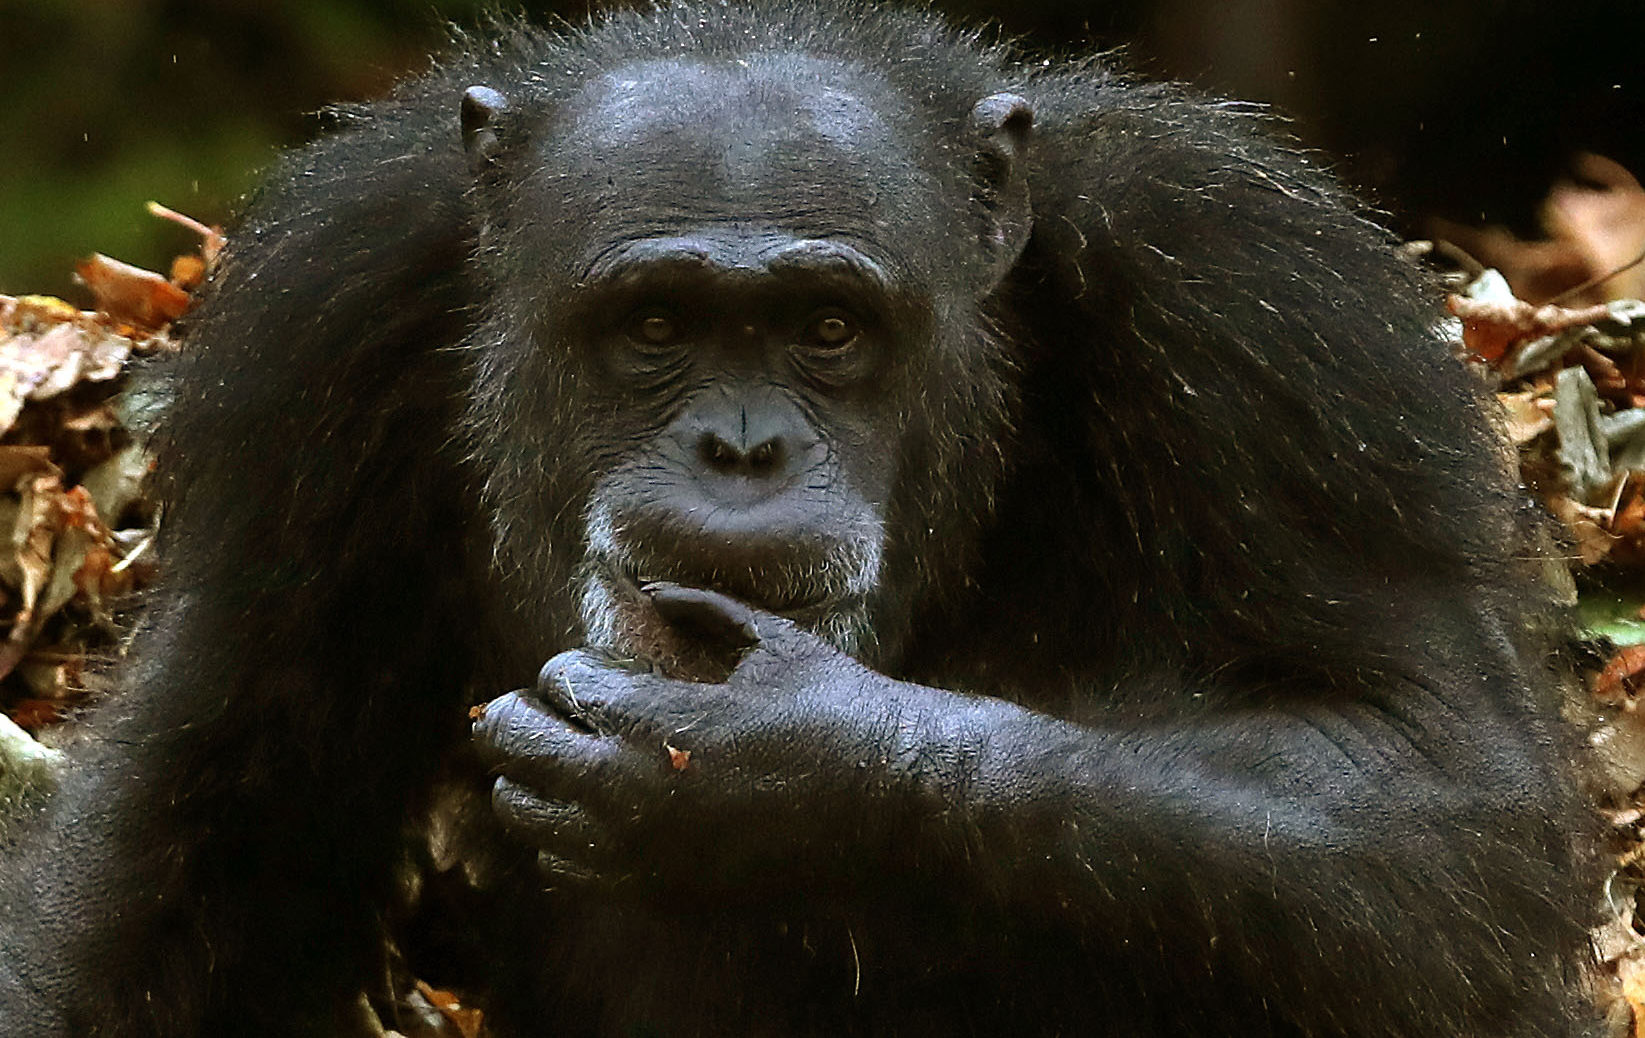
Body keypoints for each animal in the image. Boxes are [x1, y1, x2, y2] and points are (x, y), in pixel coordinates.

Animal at [0, 2, 1592, 1038]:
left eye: (830, 327)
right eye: (654, 323)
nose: (744, 446)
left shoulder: (1273, 318)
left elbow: (1421, 777)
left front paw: (786, 764)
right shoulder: (313, 324)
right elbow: (206, 809)